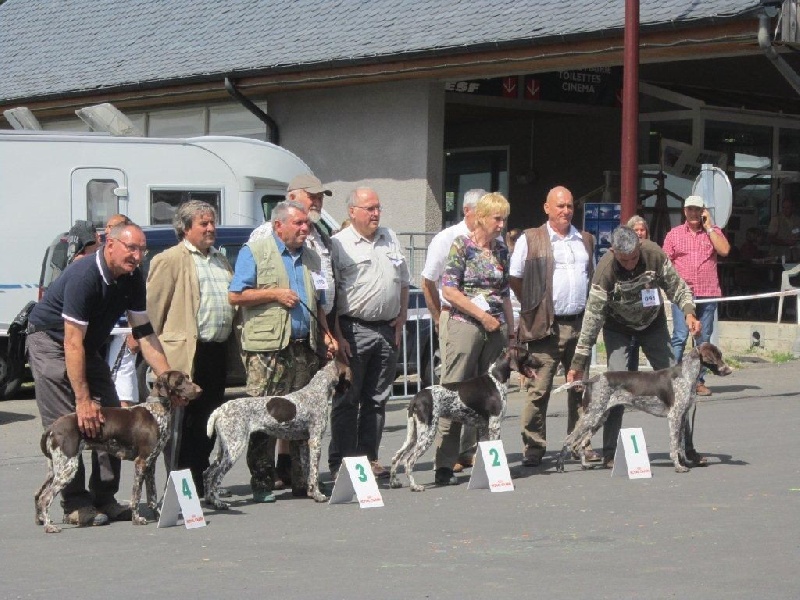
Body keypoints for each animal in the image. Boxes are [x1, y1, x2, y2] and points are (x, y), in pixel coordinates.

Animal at [35, 370, 200, 536]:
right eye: (179, 381)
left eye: (187, 377)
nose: (200, 390)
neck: (156, 410)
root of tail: (52, 428)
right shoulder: (141, 462)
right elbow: (136, 495)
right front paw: (137, 519)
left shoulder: (150, 463)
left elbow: (152, 496)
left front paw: (159, 517)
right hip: (68, 467)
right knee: (45, 497)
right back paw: (49, 526)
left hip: (55, 468)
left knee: (38, 494)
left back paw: (41, 520)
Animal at [390, 346, 544, 492]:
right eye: (527, 354)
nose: (542, 363)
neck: (496, 379)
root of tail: (415, 397)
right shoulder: (494, 425)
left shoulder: (483, 428)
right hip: (427, 433)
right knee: (408, 461)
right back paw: (415, 486)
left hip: (414, 434)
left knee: (396, 456)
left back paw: (394, 482)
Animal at [556, 342, 732, 474]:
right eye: (718, 356)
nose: (729, 370)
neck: (686, 375)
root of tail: (591, 380)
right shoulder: (674, 417)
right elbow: (674, 446)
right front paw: (678, 466)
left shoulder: (682, 417)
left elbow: (681, 445)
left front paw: (685, 462)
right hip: (591, 416)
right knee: (569, 439)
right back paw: (560, 466)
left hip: (599, 417)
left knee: (580, 443)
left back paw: (585, 465)